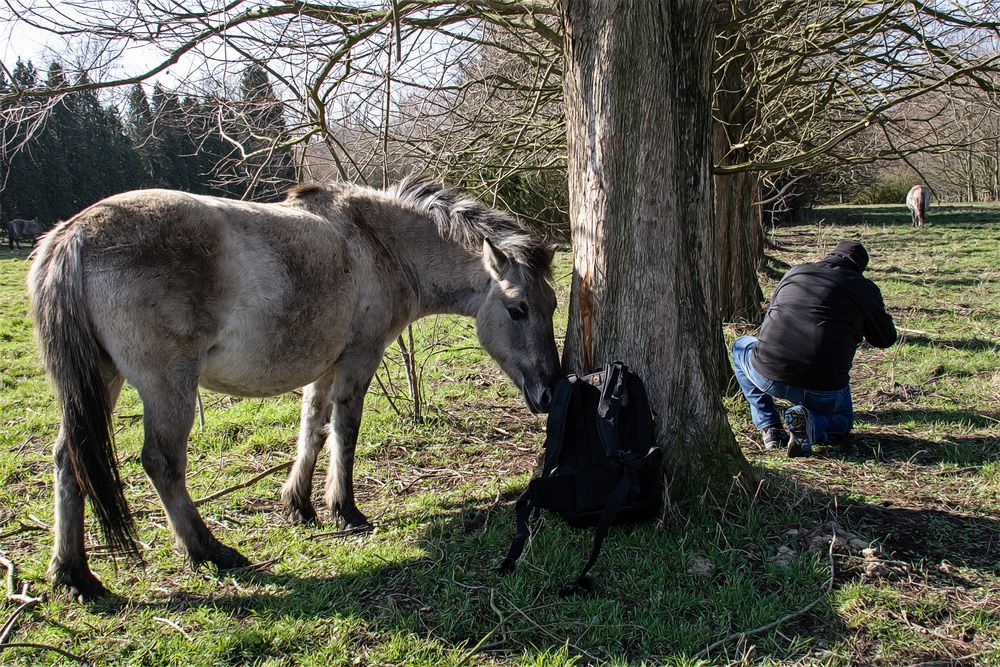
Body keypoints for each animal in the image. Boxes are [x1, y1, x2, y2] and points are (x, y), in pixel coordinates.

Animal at [29, 177, 564, 600]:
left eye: (552, 305)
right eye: (518, 309)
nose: (549, 393)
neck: (378, 243)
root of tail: (74, 234)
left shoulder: (324, 368)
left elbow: (312, 430)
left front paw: (299, 505)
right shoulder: (358, 360)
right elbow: (344, 432)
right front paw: (345, 510)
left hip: (101, 380)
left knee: (69, 460)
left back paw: (74, 574)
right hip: (167, 385)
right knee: (162, 462)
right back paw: (209, 551)